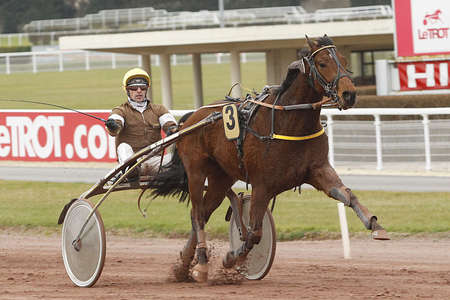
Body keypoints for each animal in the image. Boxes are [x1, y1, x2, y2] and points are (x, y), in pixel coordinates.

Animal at [149, 34, 388, 282]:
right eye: (322, 63)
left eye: (343, 60)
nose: (349, 94)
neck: (289, 122)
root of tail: (190, 119)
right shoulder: (262, 185)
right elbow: (254, 233)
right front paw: (231, 258)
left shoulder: (318, 170)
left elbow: (347, 195)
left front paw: (375, 225)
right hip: (196, 171)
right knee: (197, 215)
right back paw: (202, 264)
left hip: (220, 177)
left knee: (204, 213)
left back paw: (184, 266)